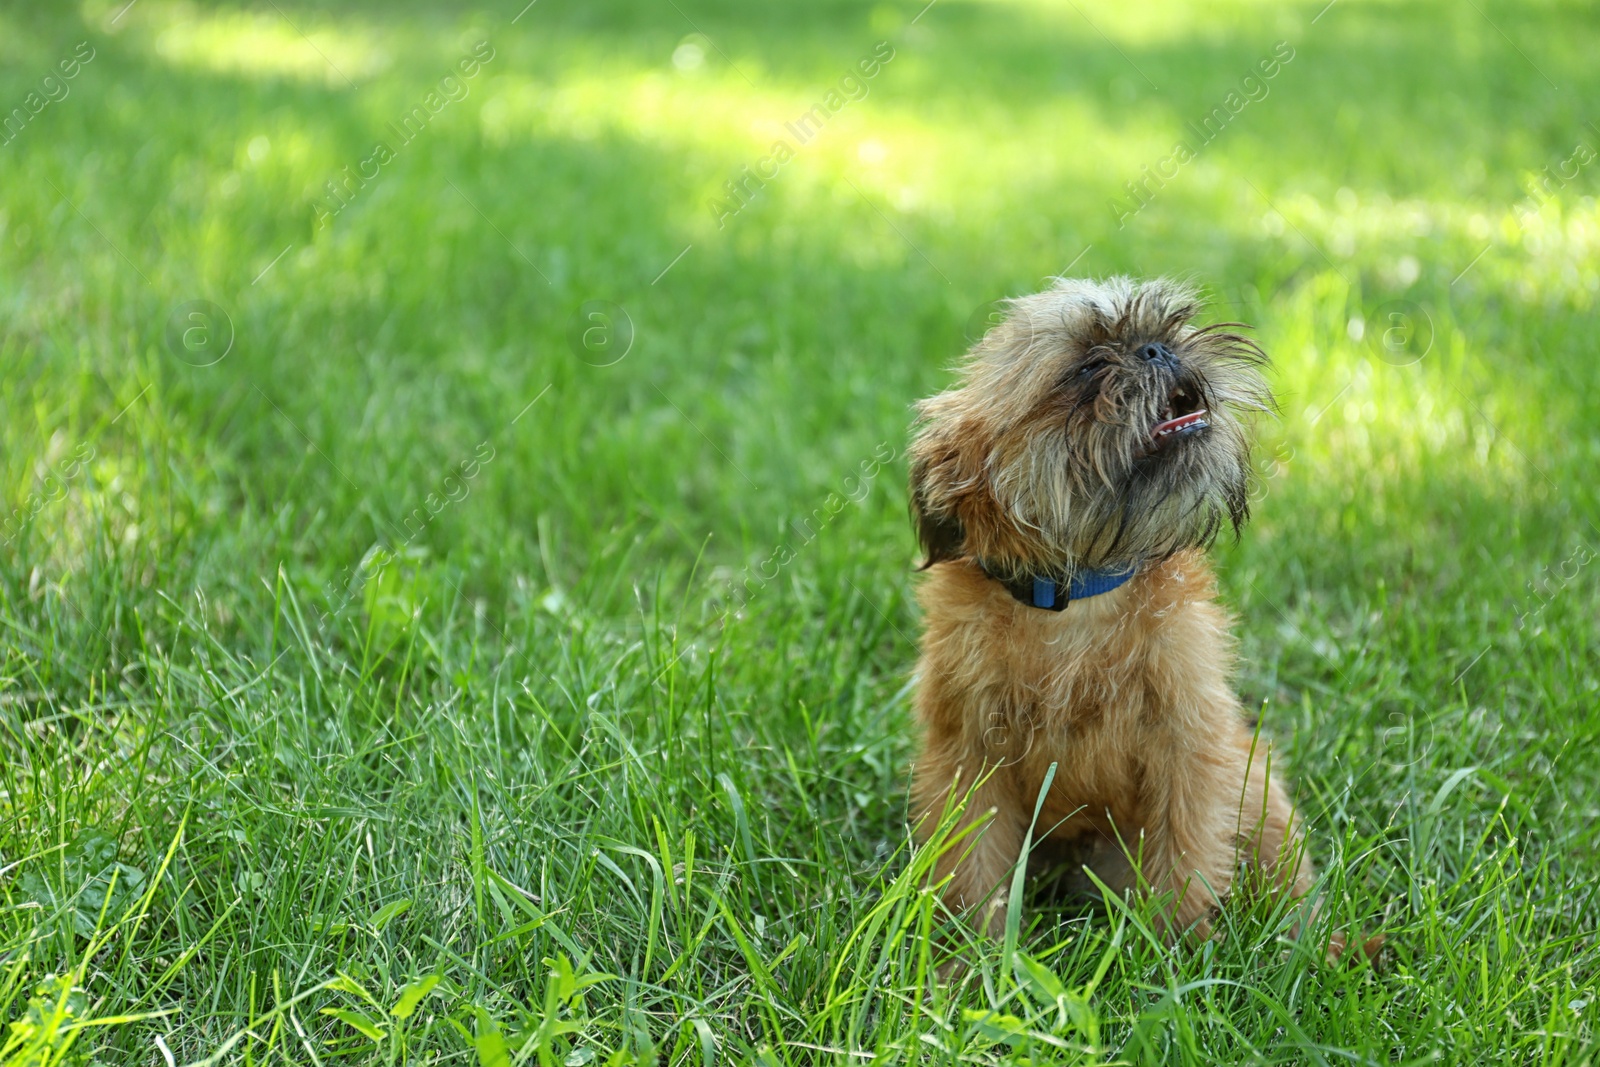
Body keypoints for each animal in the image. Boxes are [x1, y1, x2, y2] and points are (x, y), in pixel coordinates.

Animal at [908, 275, 1318, 953]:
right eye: (1087, 366)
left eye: (1164, 329)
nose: (1156, 349)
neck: (1078, 596)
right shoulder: (970, 757)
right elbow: (972, 870)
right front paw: (969, 962)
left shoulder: (1190, 747)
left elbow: (1185, 857)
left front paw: (1176, 952)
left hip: (1255, 782)